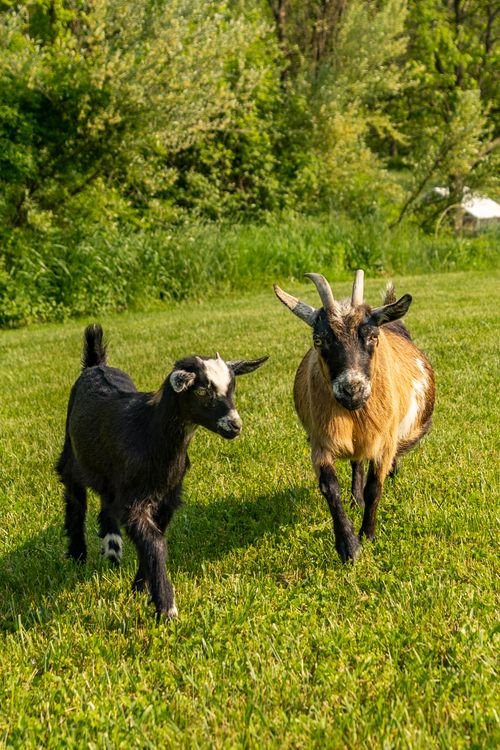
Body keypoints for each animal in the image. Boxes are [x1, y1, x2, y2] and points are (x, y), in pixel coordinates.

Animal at [56, 324, 268, 619]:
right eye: (201, 391)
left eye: (232, 388)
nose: (234, 425)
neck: (148, 430)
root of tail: (96, 365)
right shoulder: (135, 500)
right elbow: (154, 542)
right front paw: (166, 607)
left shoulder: (167, 496)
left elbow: (154, 539)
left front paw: (140, 588)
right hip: (71, 454)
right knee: (75, 499)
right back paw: (78, 555)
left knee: (106, 501)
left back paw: (112, 545)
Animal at [274, 270, 435, 563]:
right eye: (319, 340)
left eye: (372, 336)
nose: (352, 389)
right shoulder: (321, 442)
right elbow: (329, 487)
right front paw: (348, 545)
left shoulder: (385, 440)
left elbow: (375, 487)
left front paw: (367, 535)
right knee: (356, 462)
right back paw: (355, 498)